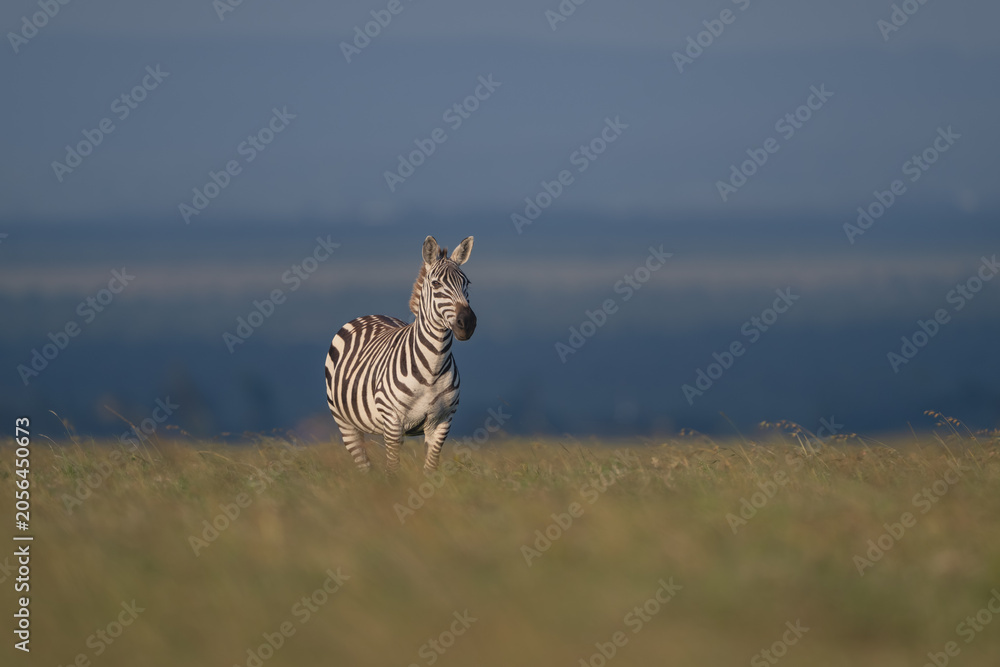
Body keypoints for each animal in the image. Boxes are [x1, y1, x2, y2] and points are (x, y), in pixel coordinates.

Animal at [325, 236, 476, 472]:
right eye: (436, 284)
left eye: (466, 283)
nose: (467, 323)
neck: (432, 369)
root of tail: (370, 314)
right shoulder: (393, 421)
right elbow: (393, 470)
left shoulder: (442, 422)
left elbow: (430, 469)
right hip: (344, 422)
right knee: (364, 466)